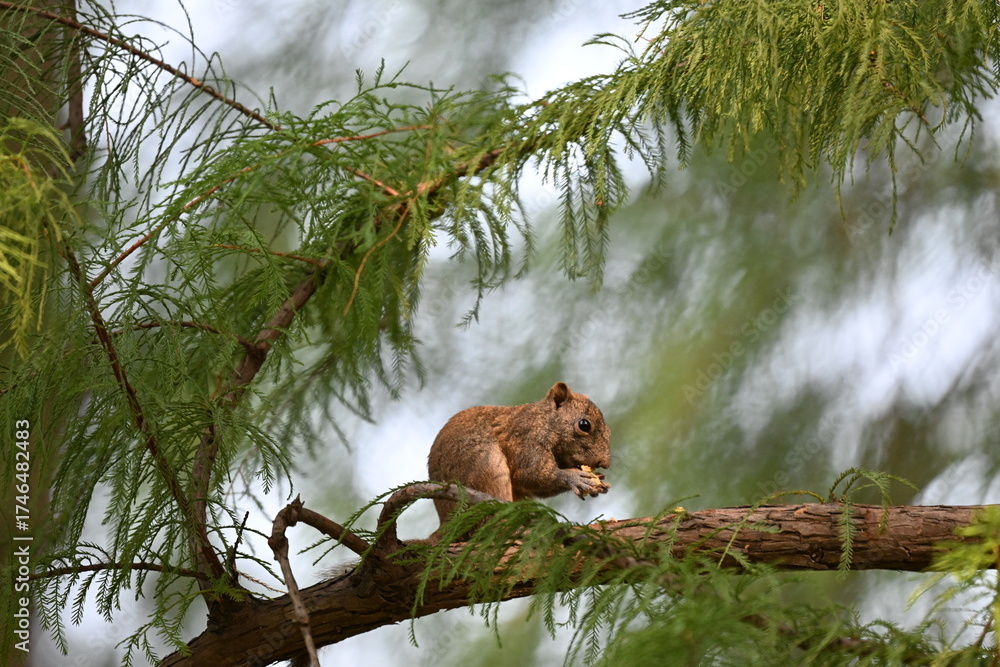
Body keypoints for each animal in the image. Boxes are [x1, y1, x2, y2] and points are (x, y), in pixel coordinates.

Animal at [427, 382, 611, 530]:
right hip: (486, 469)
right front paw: (576, 478)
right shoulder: (526, 439)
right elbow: (530, 475)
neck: (543, 421)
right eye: (584, 425)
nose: (605, 463)